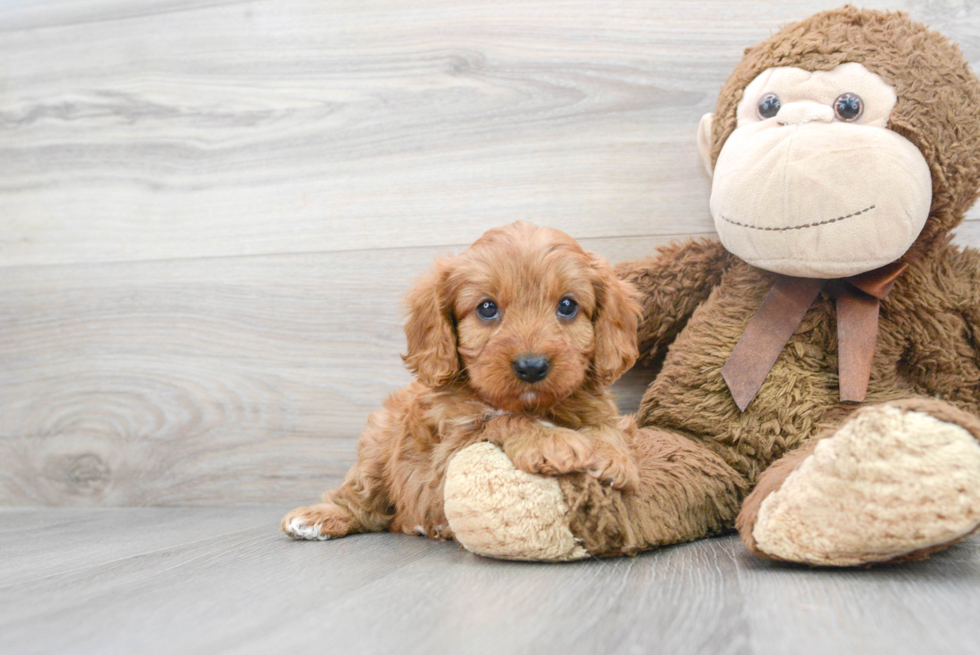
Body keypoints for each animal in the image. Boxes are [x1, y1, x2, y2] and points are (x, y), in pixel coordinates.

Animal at [282, 223, 644, 540]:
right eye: (487, 308)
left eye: (567, 305)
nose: (531, 367)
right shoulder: (449, 451)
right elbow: (499, 420)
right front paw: (550, 441)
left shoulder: (602, 410)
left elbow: (605, 427)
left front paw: (609, 456)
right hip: (376, 445)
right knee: (361, 497)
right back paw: (319, 517)